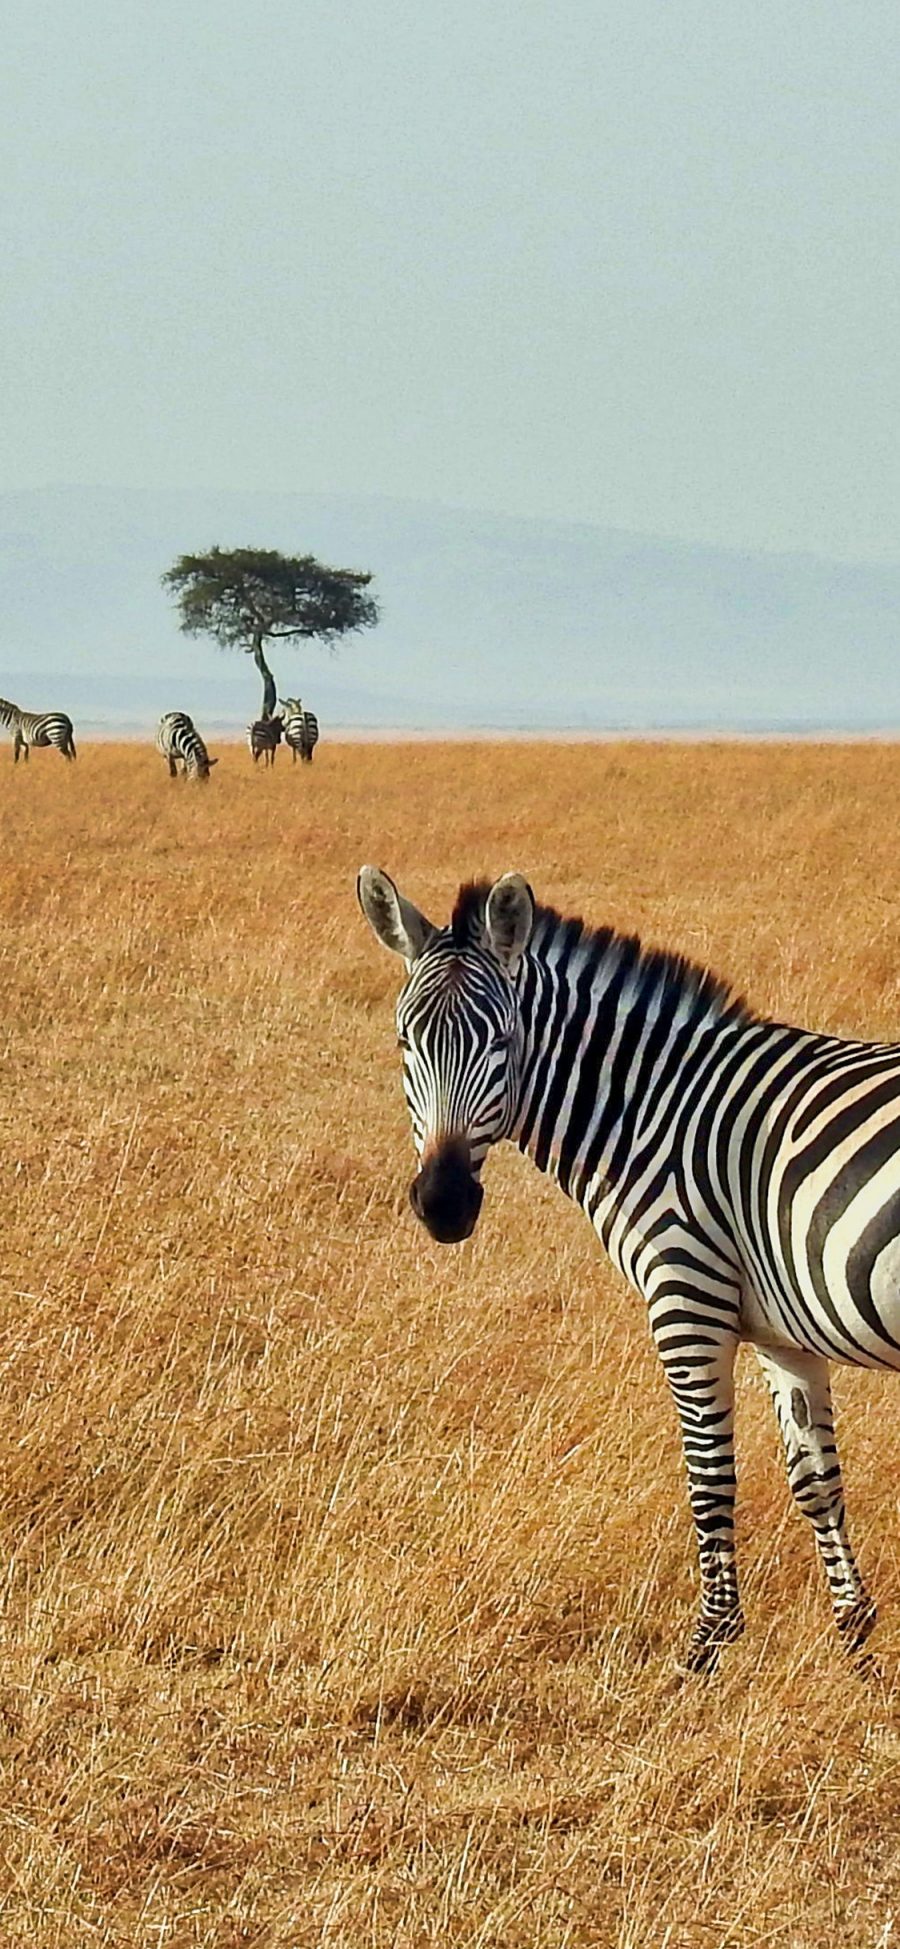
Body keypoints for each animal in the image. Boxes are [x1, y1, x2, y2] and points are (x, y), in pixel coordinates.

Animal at [356, 869, 900, 1676]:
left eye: (501, 1042)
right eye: (405, 1043)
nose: (444, 1203)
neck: (649, 1112)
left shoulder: (687, 1299)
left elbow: (710, 1478)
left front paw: (708, 1647)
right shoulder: (783, 1332)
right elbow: (816, 1484)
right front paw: (856, 1642)